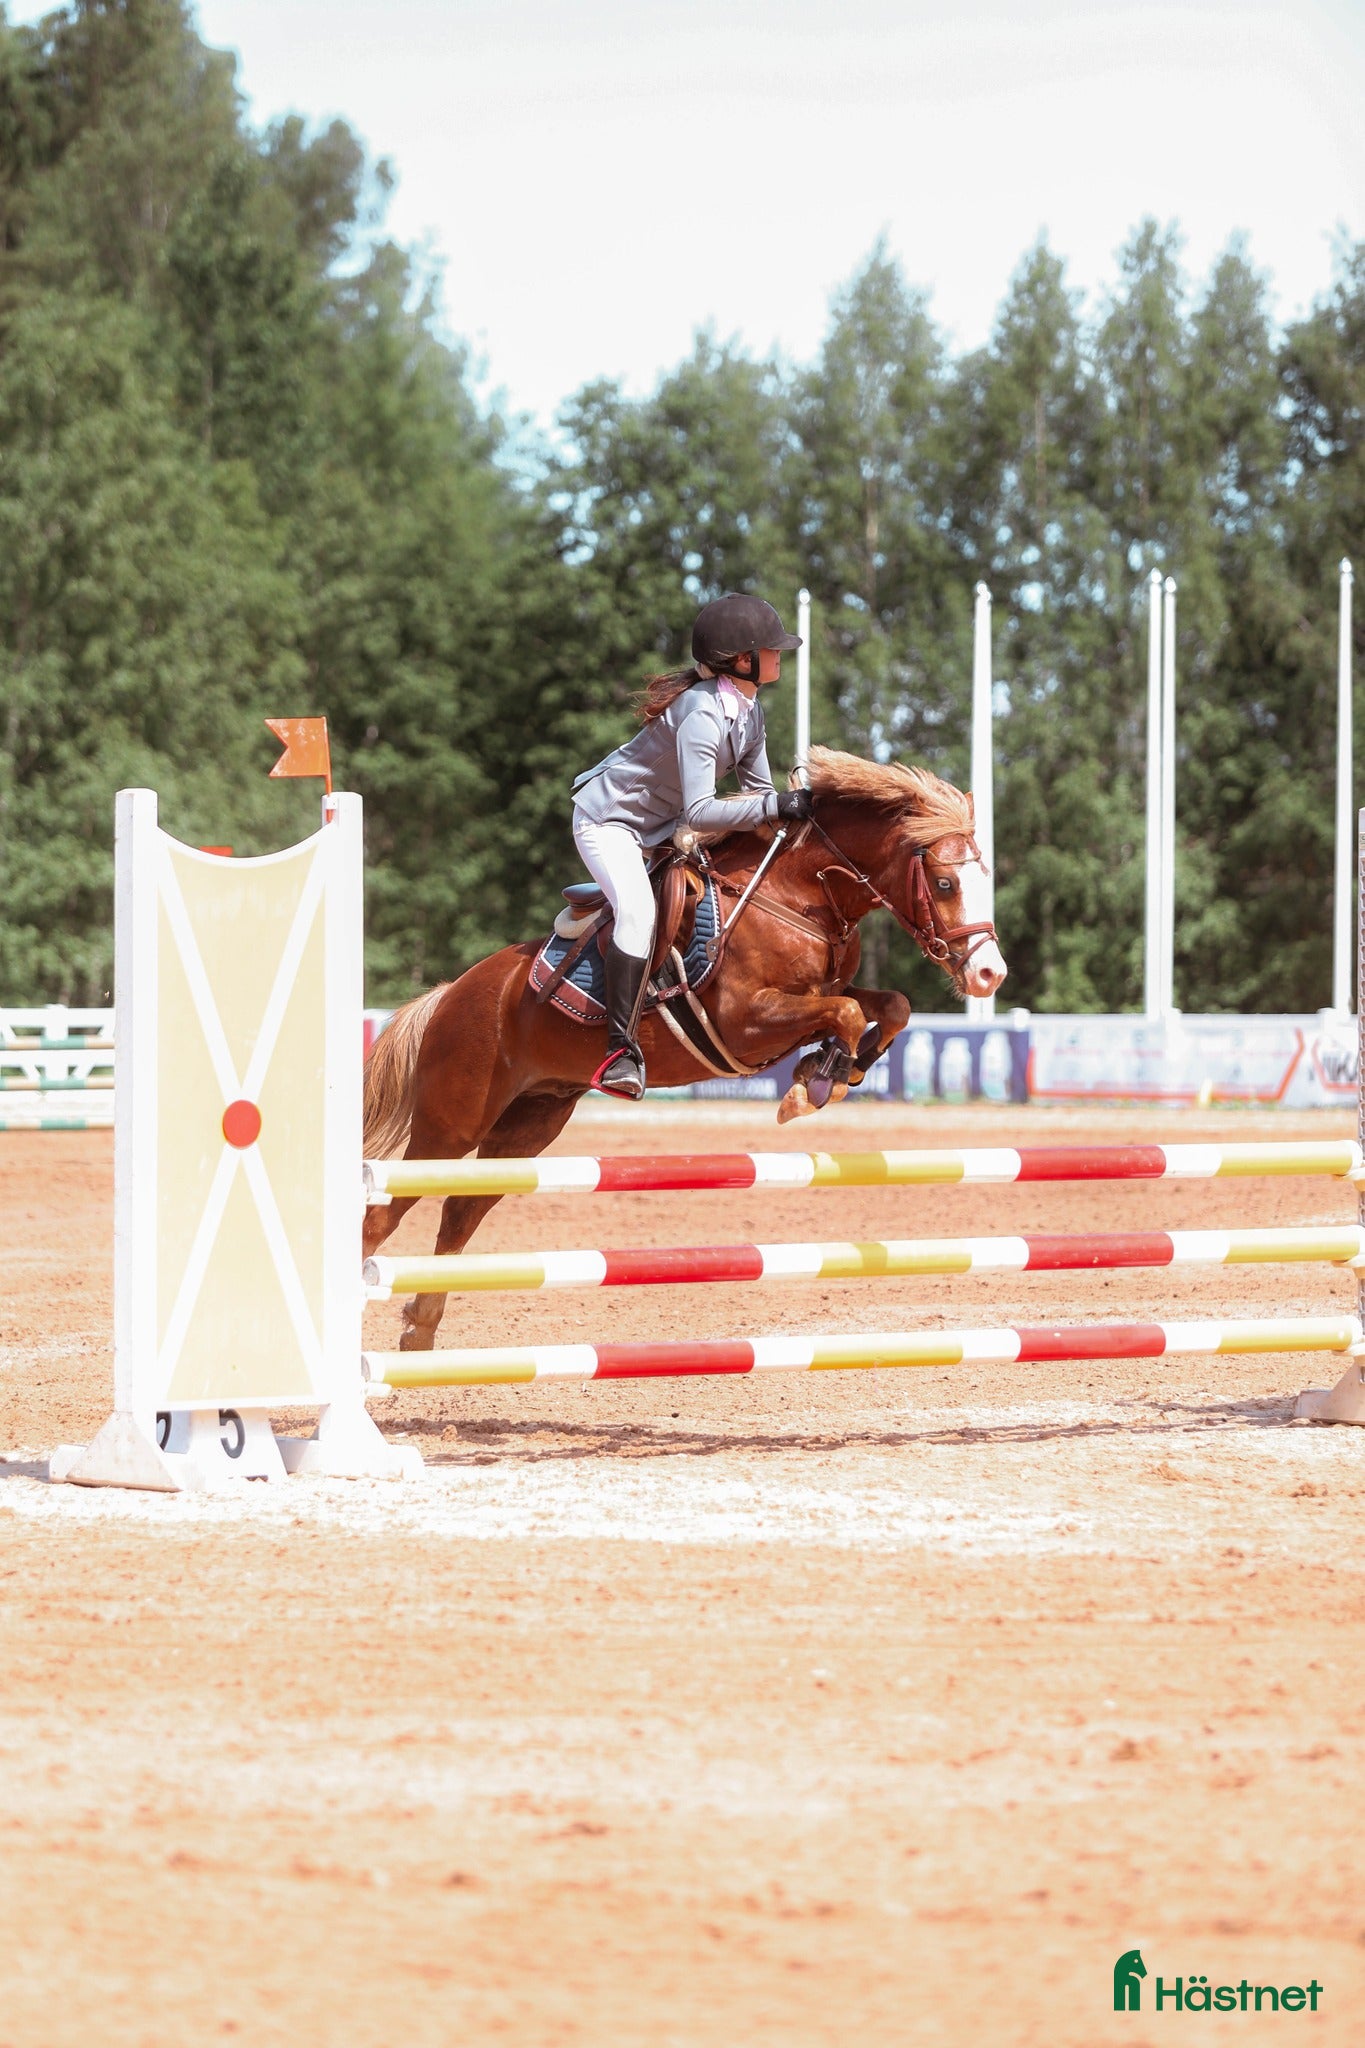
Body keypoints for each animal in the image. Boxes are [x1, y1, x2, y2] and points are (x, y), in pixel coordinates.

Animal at [362, 745, 1007, 1351]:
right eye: (945, 883)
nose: (989, 975)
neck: (797, 897)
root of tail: (452, 994)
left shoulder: (821, 993)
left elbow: (889, 1007)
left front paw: (832, 1072)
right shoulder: (745, 1021)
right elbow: (847, 1014)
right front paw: (813, 1083)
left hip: (528, 1125)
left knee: (459, 1213)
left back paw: (420, 1331)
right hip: (452, 1124)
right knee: (383, 1213)